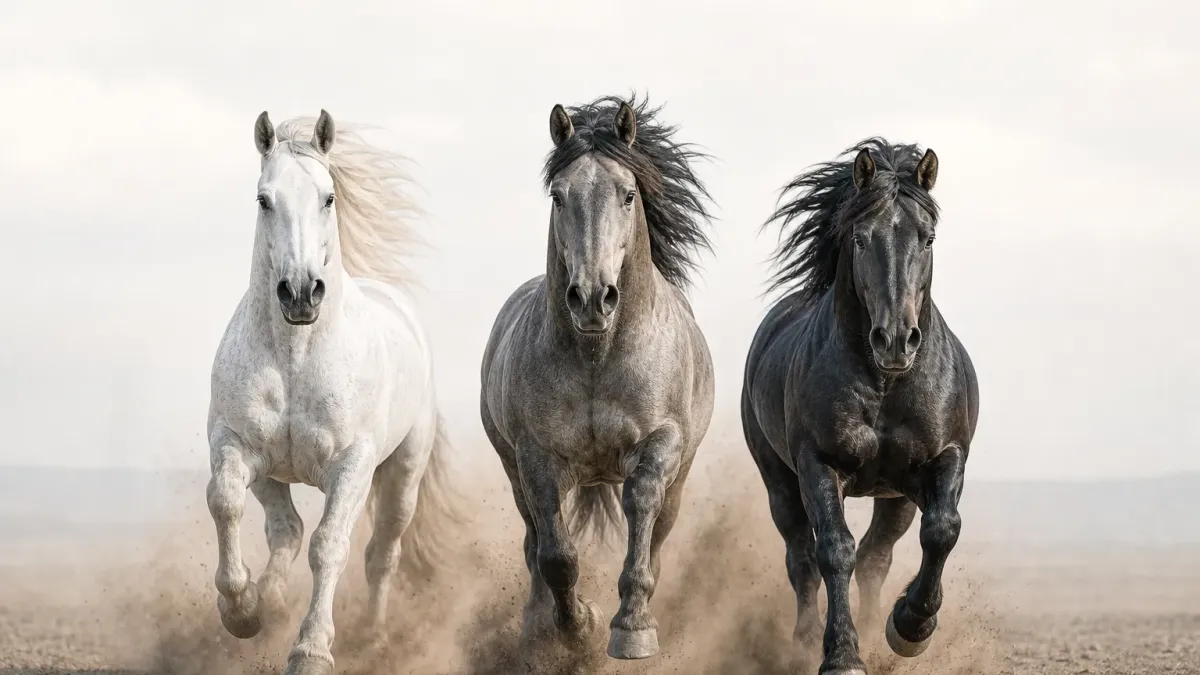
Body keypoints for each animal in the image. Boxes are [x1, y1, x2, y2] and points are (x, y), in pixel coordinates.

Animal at [205, 110, 458, 675]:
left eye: (328, 197)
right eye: (264, 199)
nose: (300, 293)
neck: (296, 358)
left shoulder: (352, 467)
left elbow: (330, 546)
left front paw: (311, 650)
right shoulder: (238, 446)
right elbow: (227, 502)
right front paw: (241, 610)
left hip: (402, 476)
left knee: (381, 553)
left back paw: (375, 635)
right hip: (275, 474)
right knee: (286, 530)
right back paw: (270, 601)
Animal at [479, 95, 716, 666]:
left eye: (628, 194)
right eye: (558, 196)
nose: (591, 298)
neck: (596, 357)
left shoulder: (661, 444)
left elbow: (641, 506)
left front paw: (632, 628)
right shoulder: (536, 459)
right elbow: (556, 555)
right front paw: (575, 628)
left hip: (681, 476)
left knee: (659, 535)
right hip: (513, 470)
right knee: (532, 539)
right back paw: (535, 624)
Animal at [741, 138, 979, 674]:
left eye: (928, 238)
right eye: (861, 240)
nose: (895, 340)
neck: (885, 386)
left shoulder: (944, 458)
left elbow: (942, 530)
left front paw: (909, 627)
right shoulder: (819, 465)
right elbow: (834, 551)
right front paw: (842, 655)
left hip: (894, 497)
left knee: (877, 555)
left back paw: (878, 626)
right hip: (779, 482)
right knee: (802, 558)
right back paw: (806, 639)